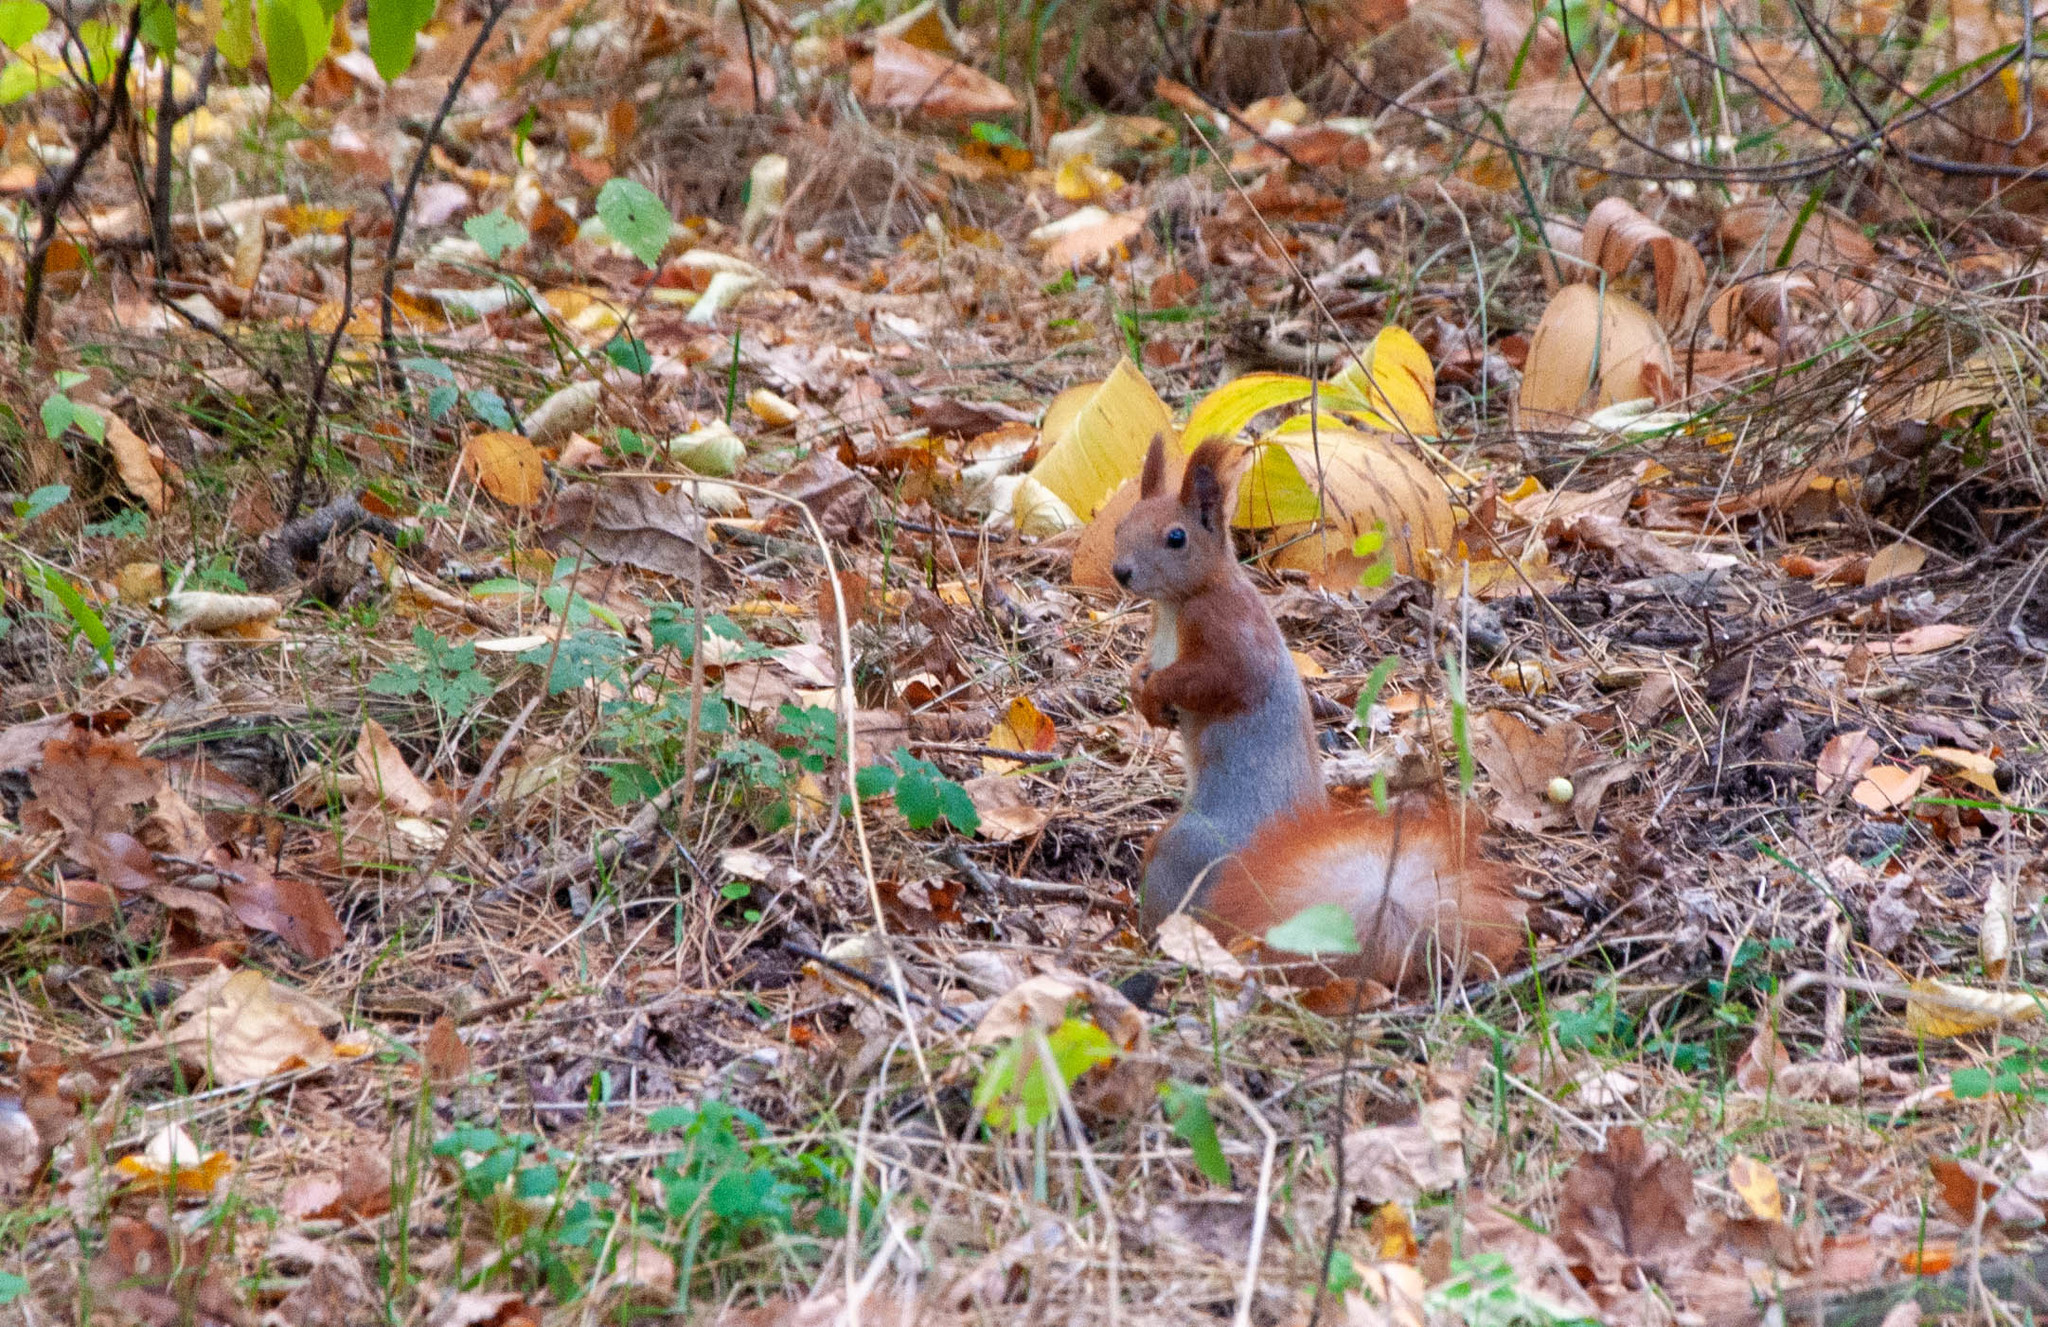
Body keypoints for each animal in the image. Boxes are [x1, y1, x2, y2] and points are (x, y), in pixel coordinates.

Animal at [1114, 436, 1531, 982]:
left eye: (1176, 537)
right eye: (1122, 523)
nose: (1121, 571)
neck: (1176, 605)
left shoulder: (1233, 637)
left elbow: (1218, 681)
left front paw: (1158, 689)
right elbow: (1144, 668)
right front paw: (1141, 691)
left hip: (1187, 849)